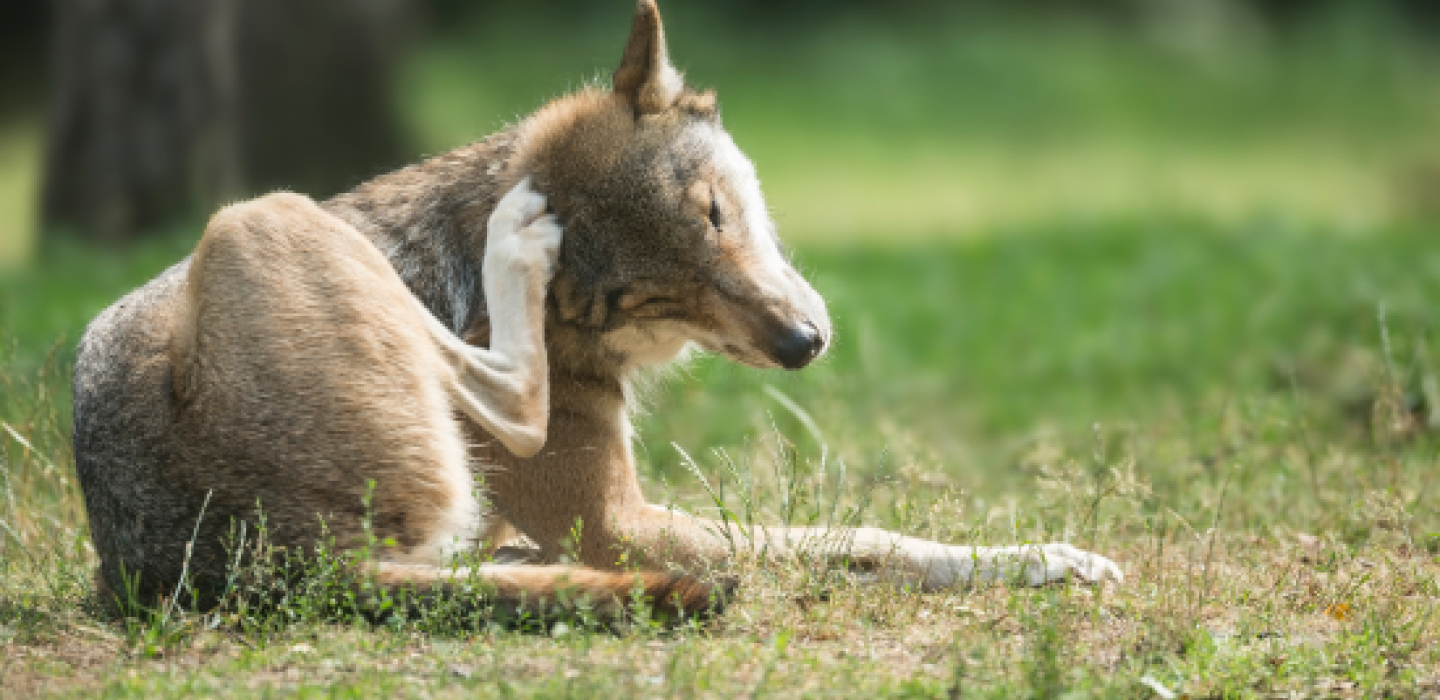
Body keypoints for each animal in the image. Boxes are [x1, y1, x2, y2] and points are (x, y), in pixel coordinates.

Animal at [72, 0, 1121, 619]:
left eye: (715, 215)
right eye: (663, 288)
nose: (802, 346)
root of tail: (261, 567)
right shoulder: (613, 520)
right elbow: (865, 540)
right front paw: (1048, 557)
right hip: (259, 214)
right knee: (511, 403)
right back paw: (516, 241)